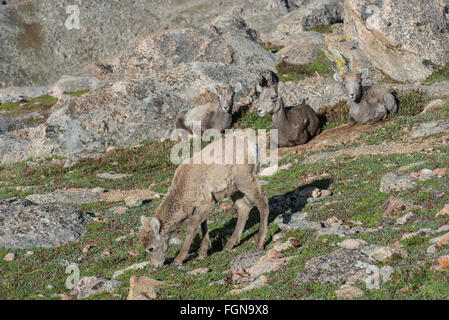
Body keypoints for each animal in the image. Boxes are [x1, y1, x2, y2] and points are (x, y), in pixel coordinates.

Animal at [138, 131, 268, 266]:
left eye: (150, 248)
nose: (156, 265)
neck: (182, 195)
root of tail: (253, 147)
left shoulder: (205, 203)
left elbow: (192, 228)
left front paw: (179, 259)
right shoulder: (203, 206)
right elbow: (203, 225)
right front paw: (203, 252)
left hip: (245, 179)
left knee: (263, 203)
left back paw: (260, 243)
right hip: (234, 189)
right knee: (244, 208)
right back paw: (229, 245)